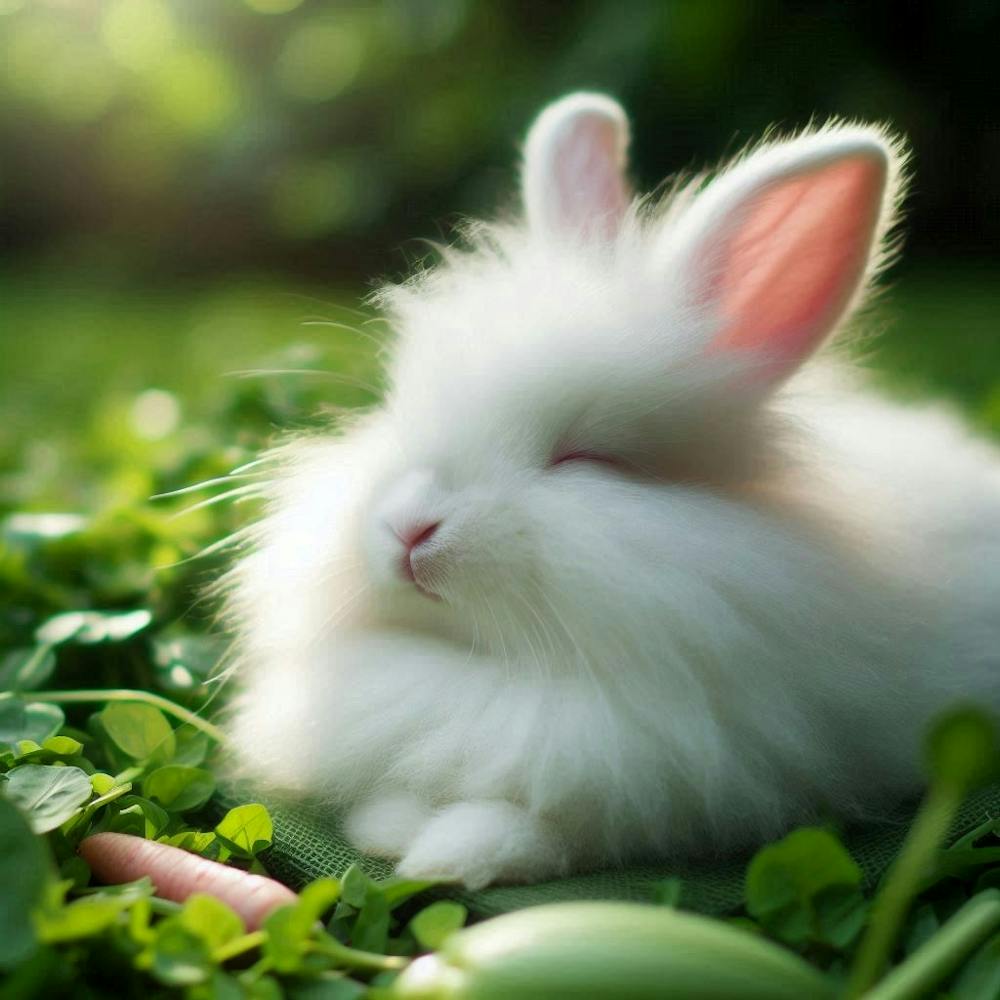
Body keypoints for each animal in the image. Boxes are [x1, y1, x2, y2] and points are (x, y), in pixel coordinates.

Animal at [223, 93, 1000, 890]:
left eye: (584, 458)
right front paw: (387, 830)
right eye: (399, 410)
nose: (409, 530)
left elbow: (547, 830)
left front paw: (452, 856)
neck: (489, 672)